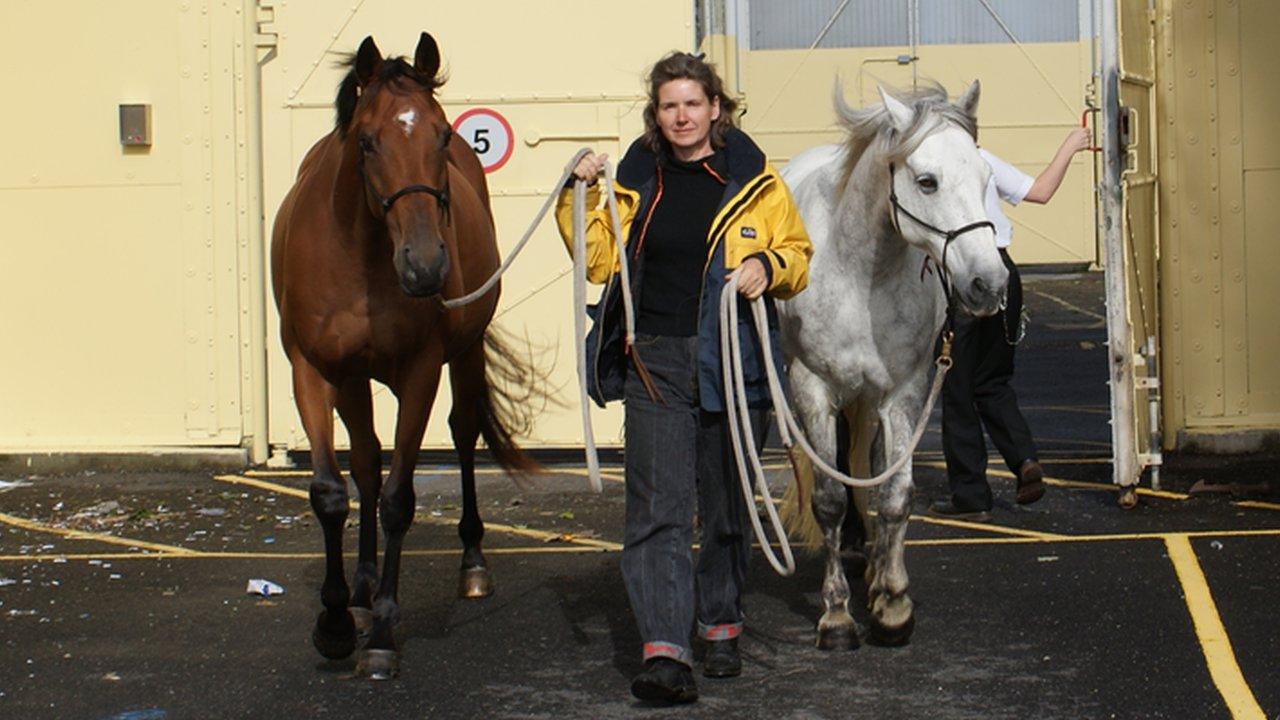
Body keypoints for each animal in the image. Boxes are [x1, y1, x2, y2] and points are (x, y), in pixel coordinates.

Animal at [272, 30, 537, 676]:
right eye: (367, 141)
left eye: (441, 134)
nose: (425, 265)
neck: (361, 255)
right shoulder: (312, 371)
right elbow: (331, 491)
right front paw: (337, 620)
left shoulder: (420, 373)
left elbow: (398, 499)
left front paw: (385, 634)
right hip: (352, 381)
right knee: (366, 460)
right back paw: (363, 587)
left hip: (463, 355)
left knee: (462, 433)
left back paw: (471, 563)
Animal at [778, 81, 1008, 648]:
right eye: (927, 181)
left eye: (985, 176)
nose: (989, 285)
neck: (862, 273)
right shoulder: (812, 388)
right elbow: (830, 499)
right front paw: (837, 616)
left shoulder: (903, 392)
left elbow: (897, 494)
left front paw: (893, 603)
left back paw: (877, 569)